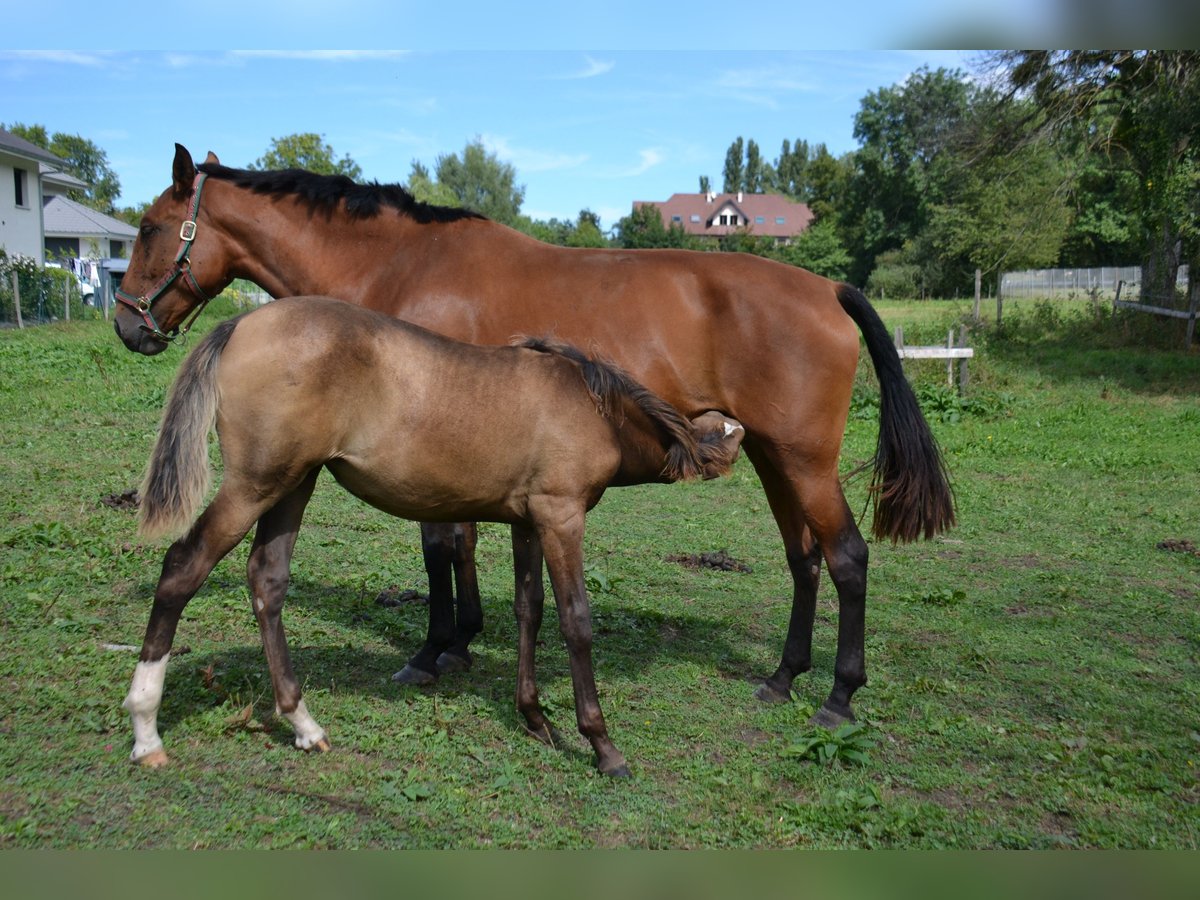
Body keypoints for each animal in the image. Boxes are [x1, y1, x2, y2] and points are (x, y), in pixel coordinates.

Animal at [114, 146, 955, 724]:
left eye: (150, 228)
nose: (128, 325)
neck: (404, 265)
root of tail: (829, 287)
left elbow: (441, 547)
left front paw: (436, 648)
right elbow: (461, 543)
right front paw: (461, 638)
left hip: (806, 461)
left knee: (847, 559)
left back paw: (840, 696)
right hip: (777, 459)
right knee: (803, 560)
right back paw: (783, 677)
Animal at [124, 296, 739, 777]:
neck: (593, 407)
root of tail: (241, 323)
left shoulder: (527, 521)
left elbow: (530, 610)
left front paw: (534, 717)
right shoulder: (561, 516)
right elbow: (575, 621)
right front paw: (601, 744)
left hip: (294, 482)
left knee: (267, 580)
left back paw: (303, 724)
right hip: (256, 484)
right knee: (183, 566)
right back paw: (146, 728)